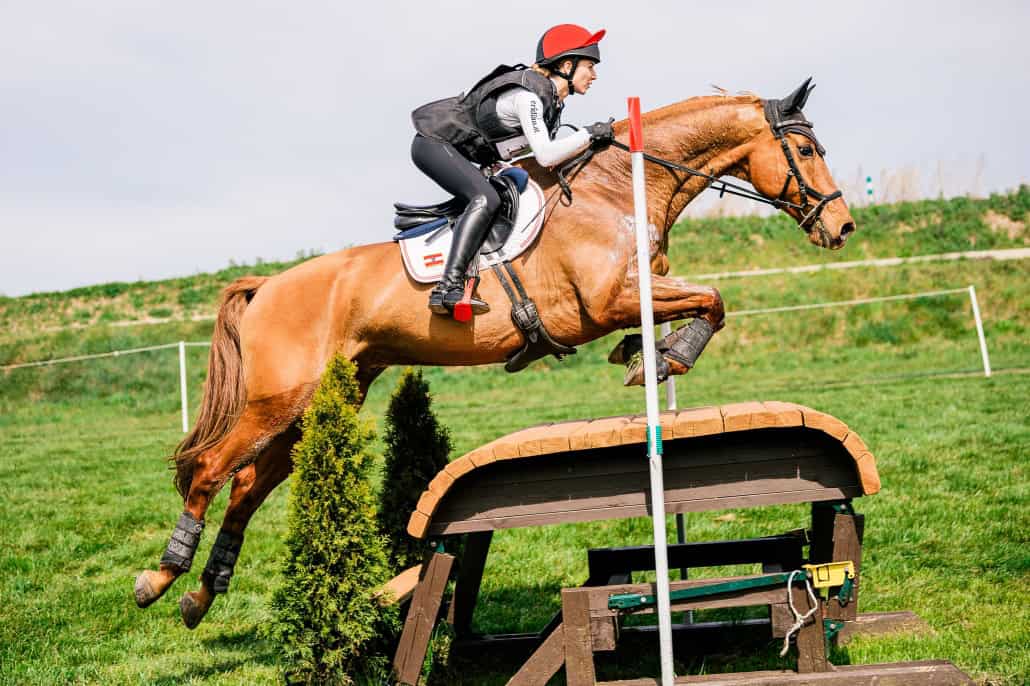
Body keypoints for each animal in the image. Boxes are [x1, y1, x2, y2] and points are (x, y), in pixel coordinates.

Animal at [134, 79, 856, 628]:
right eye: (804, 147)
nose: (842, 225)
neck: (617, 190)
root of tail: (266, 286)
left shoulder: (639, 293)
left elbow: (704, 302)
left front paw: (647, 356)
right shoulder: (607, 300)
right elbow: (713, 299)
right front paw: (663, 360)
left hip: (321, 401)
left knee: (249, 486)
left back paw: (201, 596)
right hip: (281, 397)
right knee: (211, 472)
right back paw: (161, 577)